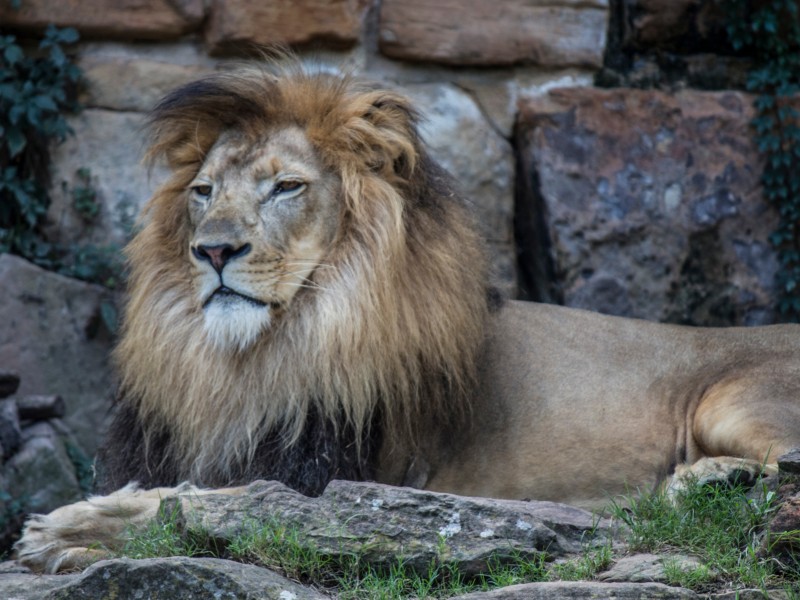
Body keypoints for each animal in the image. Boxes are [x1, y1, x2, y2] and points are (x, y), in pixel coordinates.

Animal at [14, 63, 800, 576]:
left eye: (286, 187)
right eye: (204, 191)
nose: (212, 250)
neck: (259, 357)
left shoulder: (333, 479)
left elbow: (195, 503)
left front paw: (68, 527)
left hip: (732, 399)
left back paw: (708, 480)